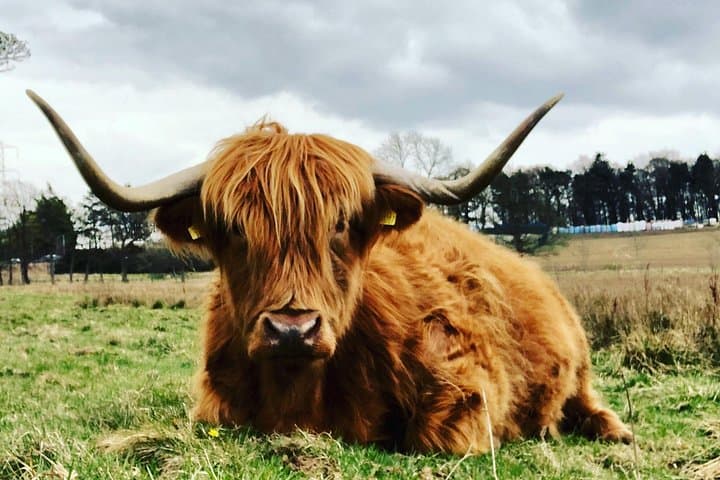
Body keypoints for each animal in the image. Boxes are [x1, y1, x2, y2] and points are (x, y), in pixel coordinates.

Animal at [27, 90, 632, 454]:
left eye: (340, 225)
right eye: (234, 229)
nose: (291, 329)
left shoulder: (471, 390)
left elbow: (437, 438)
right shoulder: (215, 404)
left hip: (580, 366)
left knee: (587, 403)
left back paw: (611, 433)